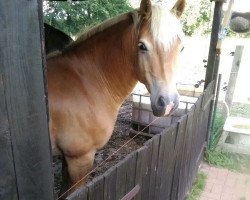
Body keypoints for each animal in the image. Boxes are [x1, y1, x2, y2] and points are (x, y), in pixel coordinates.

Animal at [46, 0, 186, 194]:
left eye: (181, 47)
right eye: (142, 46)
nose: (168, 103)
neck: (85, 82)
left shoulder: (67, 159)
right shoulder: (79, 159)